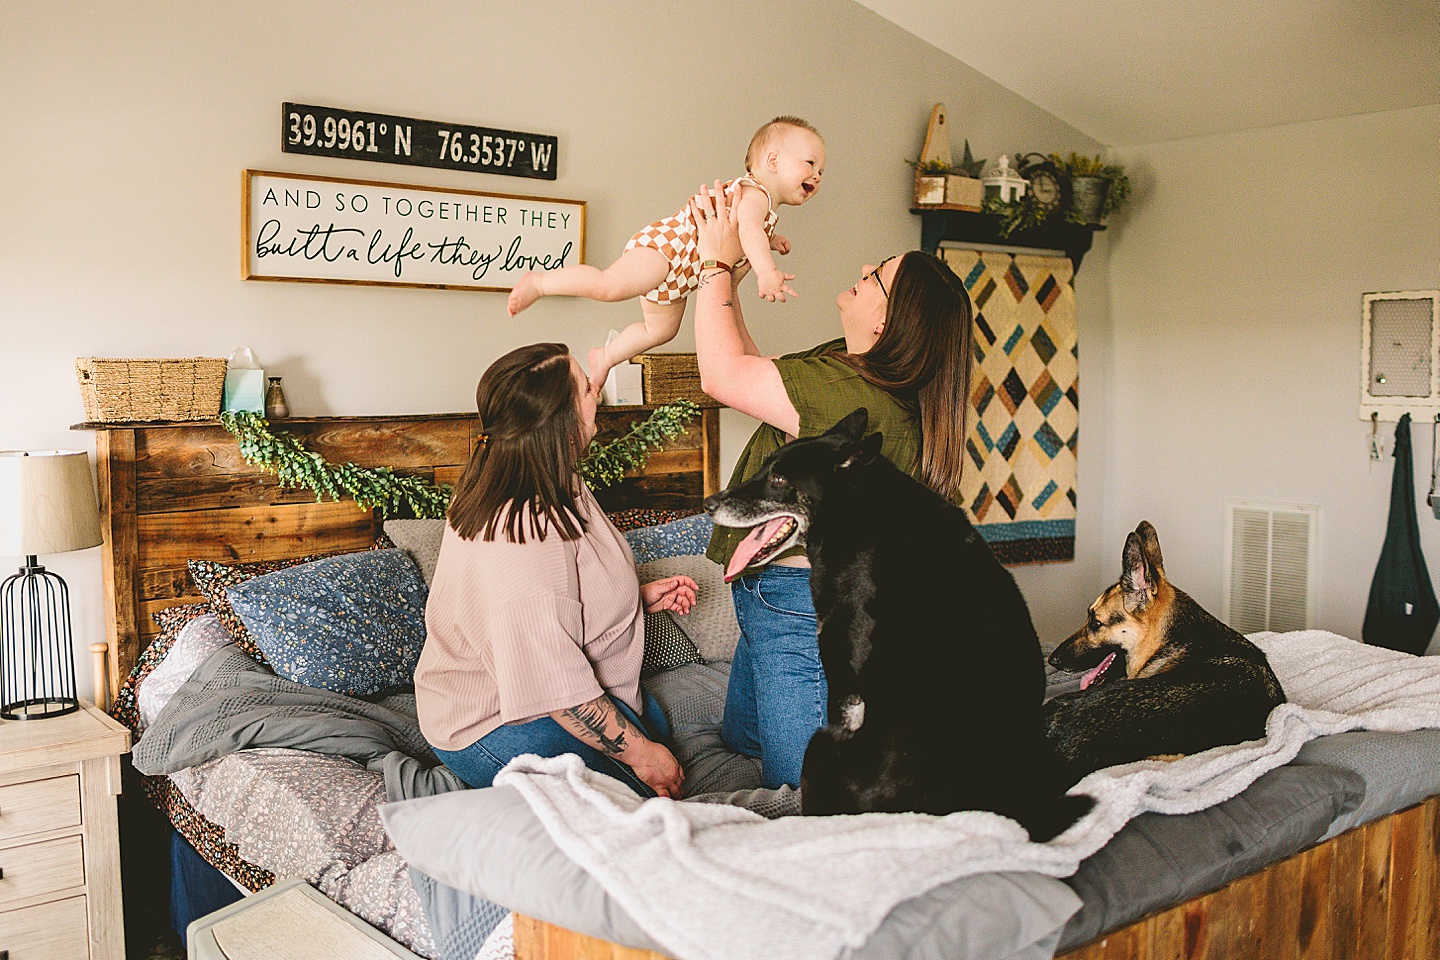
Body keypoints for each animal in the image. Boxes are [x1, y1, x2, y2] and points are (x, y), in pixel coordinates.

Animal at [702, 408, 1082, 846]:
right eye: (766, 467)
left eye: (779, 479)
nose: (708, 503)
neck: (858, 513)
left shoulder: (844, 683)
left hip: (819, 744)